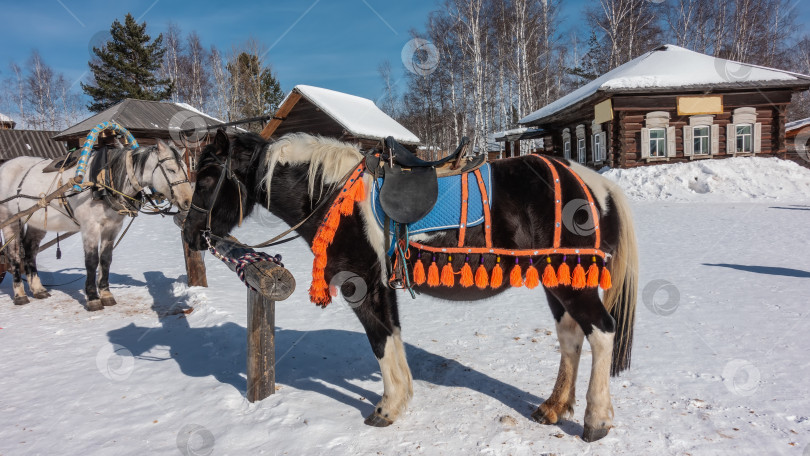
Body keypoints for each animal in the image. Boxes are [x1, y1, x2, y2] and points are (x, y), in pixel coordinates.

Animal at [0, 142, 193, 310]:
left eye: (186, 169)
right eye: (171, 170)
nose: (188, 202)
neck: (104, 182)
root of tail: (5, 165)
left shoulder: (112, 227)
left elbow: (106, 259)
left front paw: (106, 295)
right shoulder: (90, 227)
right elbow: (92, 261)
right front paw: (93, 298)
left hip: (37, 222)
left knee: (30, 251)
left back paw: (38, 289)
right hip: (10, 219)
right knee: (14, 254)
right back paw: (20, 294)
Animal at [183, 129, 636, 442]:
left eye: (206, 178)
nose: (190, 234)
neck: (332, 195)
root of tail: (595, 184)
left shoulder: (361, 285)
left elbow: (380, 341)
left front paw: (386, 408)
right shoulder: (382, 287)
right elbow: (393, 338)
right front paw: (400, 398)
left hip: (573, 283)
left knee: (602, 333)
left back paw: (596, 420)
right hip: (557, 281)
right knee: (570, 338)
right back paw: (554, 407)